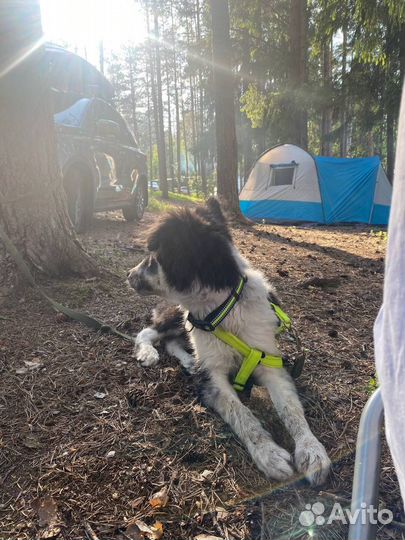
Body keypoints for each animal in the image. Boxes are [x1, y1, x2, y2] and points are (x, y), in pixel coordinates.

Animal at [128, 198, 330, 486]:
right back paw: (149, 354)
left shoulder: (270, 362)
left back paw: (189, 361)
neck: (224, 308)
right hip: (176, 315)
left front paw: (311, 450)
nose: (128, 274)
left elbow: (291, 409)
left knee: (171, 341)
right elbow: (242, 413)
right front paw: (269, 454)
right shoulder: (213, 376)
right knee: (149, 332)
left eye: (153, 259)